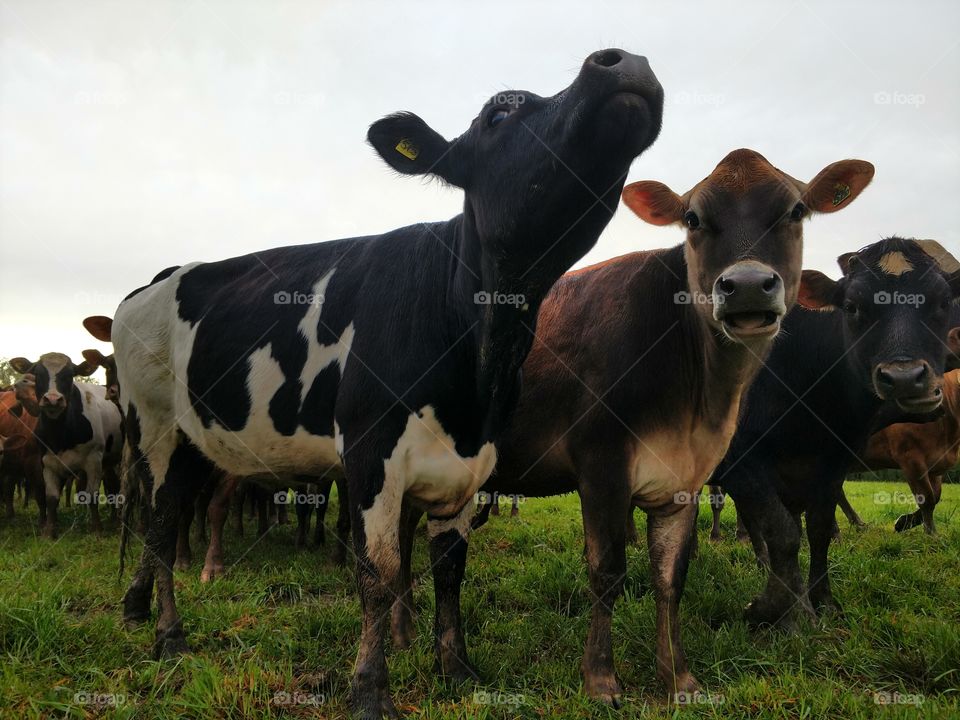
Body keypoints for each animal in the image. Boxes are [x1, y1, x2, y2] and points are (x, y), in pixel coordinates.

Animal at [8, 352, 124, 536]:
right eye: (37, 373)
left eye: (70, 375)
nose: (53, 399)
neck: (60, 434)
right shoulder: (47, 463)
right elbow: (51, 497)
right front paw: (49, 531)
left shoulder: (94, 460)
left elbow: (92, 494)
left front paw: (97, 529)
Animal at [112, 50, 664, 720]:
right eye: (500, 113)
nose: (622, 60)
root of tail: (161, 276)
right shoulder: (370, 449)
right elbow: (376, 572)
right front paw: (370, 690)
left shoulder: (470, 462)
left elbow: (449, 568)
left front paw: (455, 668)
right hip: (157, 428)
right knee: (162, 522)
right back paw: (169, 633)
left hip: (195, 439)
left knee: (159, 520)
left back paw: (139, 610)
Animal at [712, 238, 960, 632]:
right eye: (853, 306)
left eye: (941, 302)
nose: (905, 378)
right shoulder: (740, 459)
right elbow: (784, 532)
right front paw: (787, 611)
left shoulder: (831, 464)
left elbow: (818, 529)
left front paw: (823, 602)